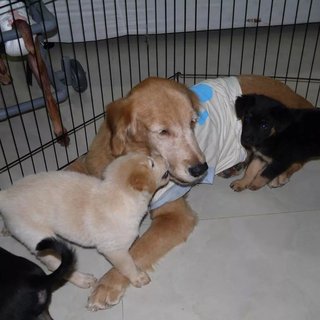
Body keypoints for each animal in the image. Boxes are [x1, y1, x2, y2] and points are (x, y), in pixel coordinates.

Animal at [0, 152, 170, 290]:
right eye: (152, 163)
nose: (163, 156)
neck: (120, 197)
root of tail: (6, 195)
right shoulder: (114, 250)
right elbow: (128, 265)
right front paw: (137, 277)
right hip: (39, 236)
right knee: (55, 264)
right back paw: (83, 280)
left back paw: (6, 229)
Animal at [66, 74, 314, 310]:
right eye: (163, 131)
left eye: (193, 123)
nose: (200, 169)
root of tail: (303, 100)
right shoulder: (90, 164)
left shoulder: (175, 215)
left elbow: (136, 250)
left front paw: (107, 285)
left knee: (296, 158)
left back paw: (276, 176)